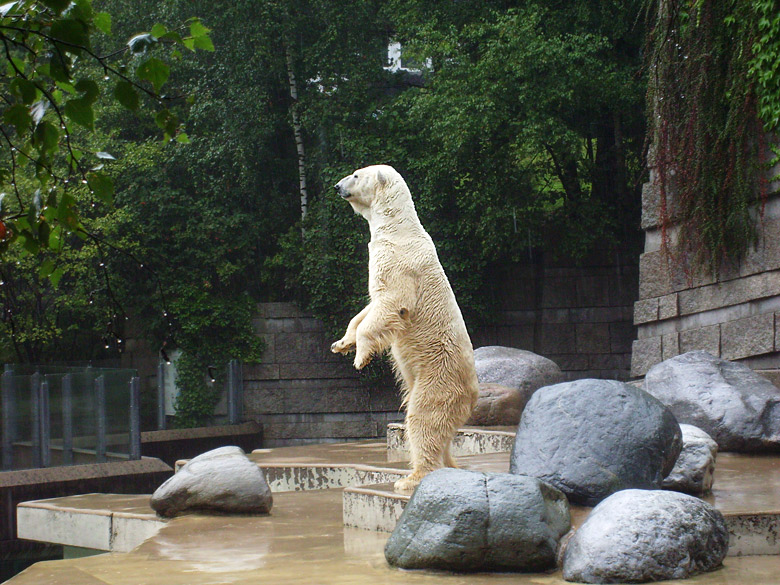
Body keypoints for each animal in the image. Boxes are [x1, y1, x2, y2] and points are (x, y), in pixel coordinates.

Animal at [330, 164, 478, 492]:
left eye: (356, 175)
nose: (336, 186)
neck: (397, 228)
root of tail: (473, 393)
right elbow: (368, 309)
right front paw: (342, 343)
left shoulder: (398, 262)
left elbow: (392, 302)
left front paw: (361, 357)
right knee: (440, 431)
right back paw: (448, 466)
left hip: (438, 378)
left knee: (424, 419)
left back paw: (411, 478)